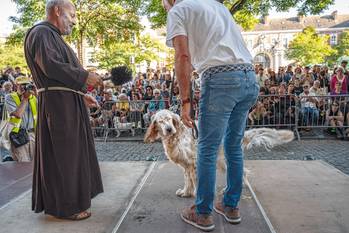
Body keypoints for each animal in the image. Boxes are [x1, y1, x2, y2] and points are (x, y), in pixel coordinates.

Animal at [144, 109, 294, 197]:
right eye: (160, 121)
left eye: (169, 119)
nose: (169, 129)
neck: (177, 134)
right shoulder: (186, 165)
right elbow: (187, 180)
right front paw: (186, 192)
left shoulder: (194, 162)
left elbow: (195, 180)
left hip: (223, 161)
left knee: (240, 172)